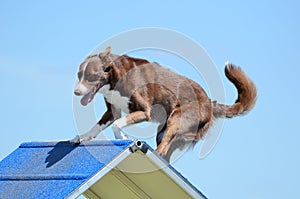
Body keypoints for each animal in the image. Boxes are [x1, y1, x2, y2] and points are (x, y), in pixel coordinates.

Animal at [70, 46, 255, 162]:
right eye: (79, 75)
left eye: (91, 76)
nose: (77, 92)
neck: (116, 76)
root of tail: (209, 102)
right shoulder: (112, 111)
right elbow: (98, 126)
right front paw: (82, 136)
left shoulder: (144, 111)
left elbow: (117, 124)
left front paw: (122, 137)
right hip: (164, 129)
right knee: (166, 152)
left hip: (176, 120)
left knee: (163, 149)